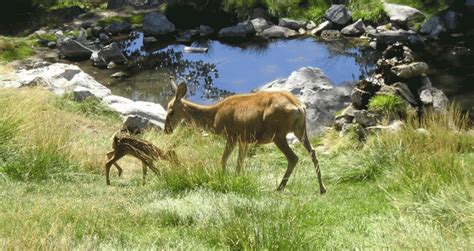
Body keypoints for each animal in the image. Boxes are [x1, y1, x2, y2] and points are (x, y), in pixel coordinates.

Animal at [164, 78, 326, 194]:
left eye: (171, 111)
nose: (166, 130)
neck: (214, 116)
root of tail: (299, 107)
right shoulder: (244, 139)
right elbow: (239, 162)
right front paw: (238, 179)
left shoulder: (232, 135)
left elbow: (224, 159)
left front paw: (222, 178)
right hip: (300, 129)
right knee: (313, 152)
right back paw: (322, 188)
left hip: (278, 133)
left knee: (293, 157)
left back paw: (280, 187)